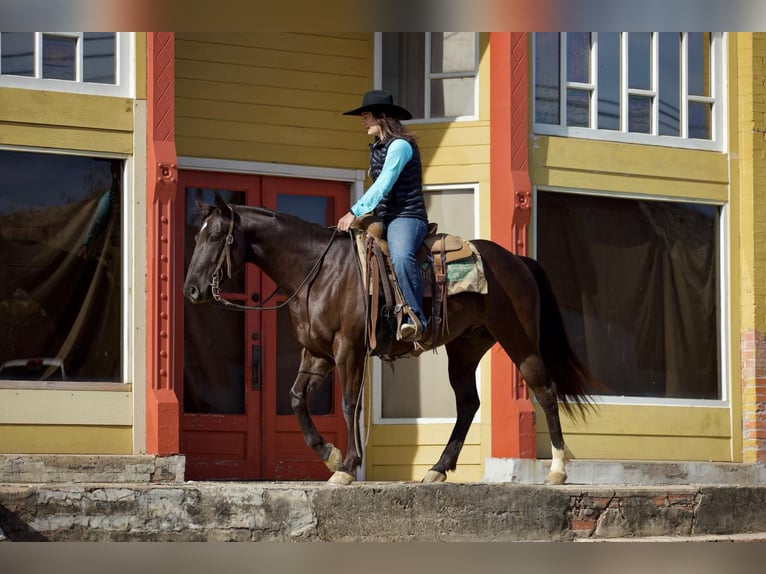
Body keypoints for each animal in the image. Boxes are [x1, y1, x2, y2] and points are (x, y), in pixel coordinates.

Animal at [183, 194, 604, 486]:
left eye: (217, 236)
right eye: (196, 235)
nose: (191, 290)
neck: (317, 271)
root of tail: (517, 261)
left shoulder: (347, 349)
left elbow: (349, 403)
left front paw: (347, 466)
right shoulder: (316, 353)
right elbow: (297, 398)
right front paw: (330, 454)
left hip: (519, 340)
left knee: (545, 391)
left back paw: (557, 470)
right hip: (465, 348)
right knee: (468, 403)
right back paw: (437, 469)